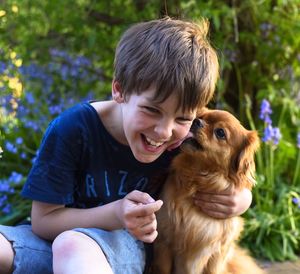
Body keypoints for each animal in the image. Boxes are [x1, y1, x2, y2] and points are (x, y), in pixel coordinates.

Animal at [152, 109, 264, 274]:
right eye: (201, 117)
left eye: (220, 133)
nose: (197, 121)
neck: (198, 179)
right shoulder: (164, 243)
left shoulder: (215, 255)